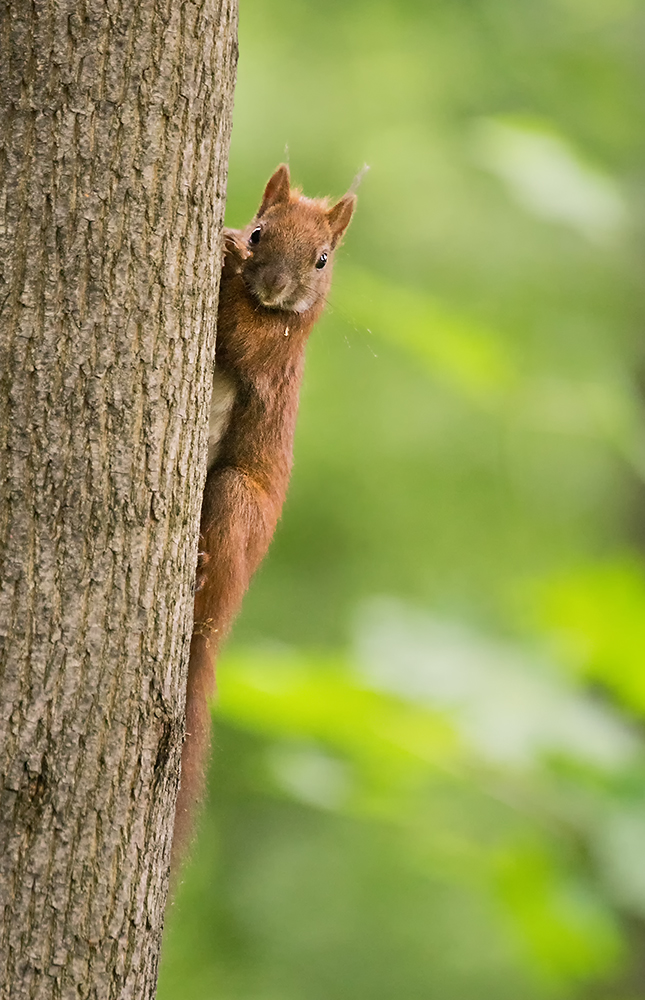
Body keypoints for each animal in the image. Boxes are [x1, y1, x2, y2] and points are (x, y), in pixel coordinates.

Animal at [172, 166, 358, 868]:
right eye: (260, 231)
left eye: (322, 258)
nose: (275, 284)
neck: (271, 310)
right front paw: (225, 246)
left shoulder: (274, 354)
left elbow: (241, 339)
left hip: (234, 502)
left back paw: (201, 567)